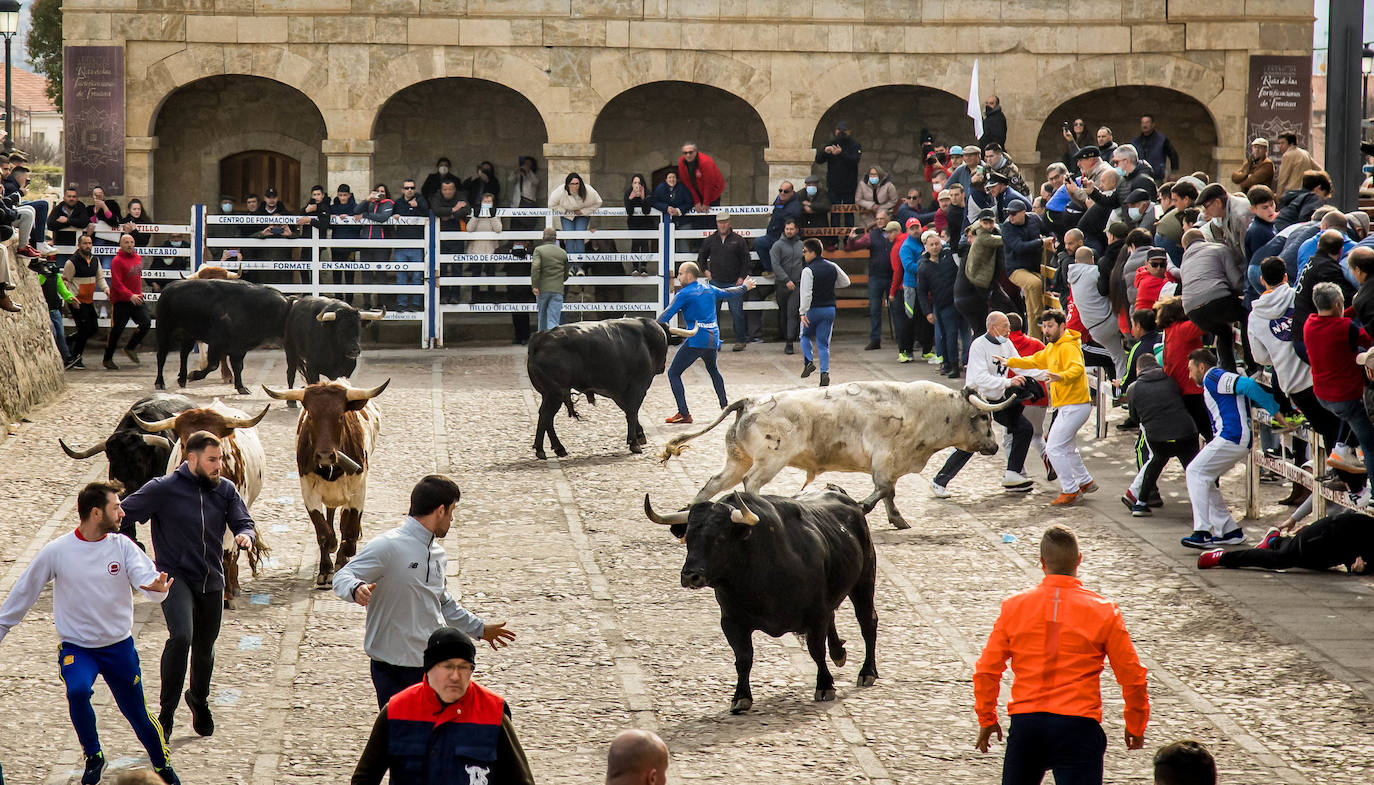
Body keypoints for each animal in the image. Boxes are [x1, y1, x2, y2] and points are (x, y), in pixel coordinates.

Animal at [522, 316, 687, 456]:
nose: (662, 366)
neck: (647, 340)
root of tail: (540, 337)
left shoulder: (618, 391)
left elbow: (629, 410)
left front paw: (639, 435)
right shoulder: (638, 386)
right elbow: (632, 411)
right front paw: (634, 442)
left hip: (549, 393)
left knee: (546, 417)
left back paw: (554, 448)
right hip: (555, 392)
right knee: (546, 415)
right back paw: (546, 448)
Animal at [645, 489, 879, 714]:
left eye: (719, 537)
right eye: (689, 537)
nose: (690, 576)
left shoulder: (816, 614)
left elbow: (816, 650)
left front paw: (824, 685)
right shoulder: (731, 621)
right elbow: (743, 658)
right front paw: (741, 697)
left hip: (864, 582)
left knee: (868, 622)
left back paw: (867, 672)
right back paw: (839, 653)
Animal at [659, 382, 1016, 527]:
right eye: (984, 418)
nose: (994, 447)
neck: (927, 410)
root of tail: (749, 401)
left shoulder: (889, 464)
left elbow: (890, 491)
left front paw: (897, 519)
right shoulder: (884, 458)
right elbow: (883, 489)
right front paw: (864, 507)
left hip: (737, 458)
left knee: (714, 483)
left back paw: (688, 511)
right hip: (770, 460)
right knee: (751, 484)